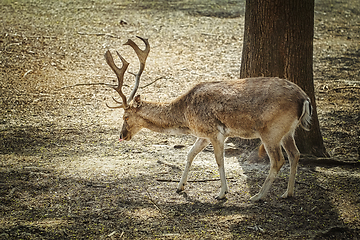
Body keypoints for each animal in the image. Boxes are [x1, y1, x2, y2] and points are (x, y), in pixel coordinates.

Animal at [104, 36, 312, 202]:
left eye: (125, 116)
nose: (122, 135)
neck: (186, 116)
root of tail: (304, 98)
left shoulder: (215, 132)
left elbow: (219, 160)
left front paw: (222, 193)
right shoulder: (203, 135)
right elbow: (189, 154)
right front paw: (180, 187)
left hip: (271, 131)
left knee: (278, 160)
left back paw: (257, 196)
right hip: (287, 131)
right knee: (295, 154)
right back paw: (288, 193)